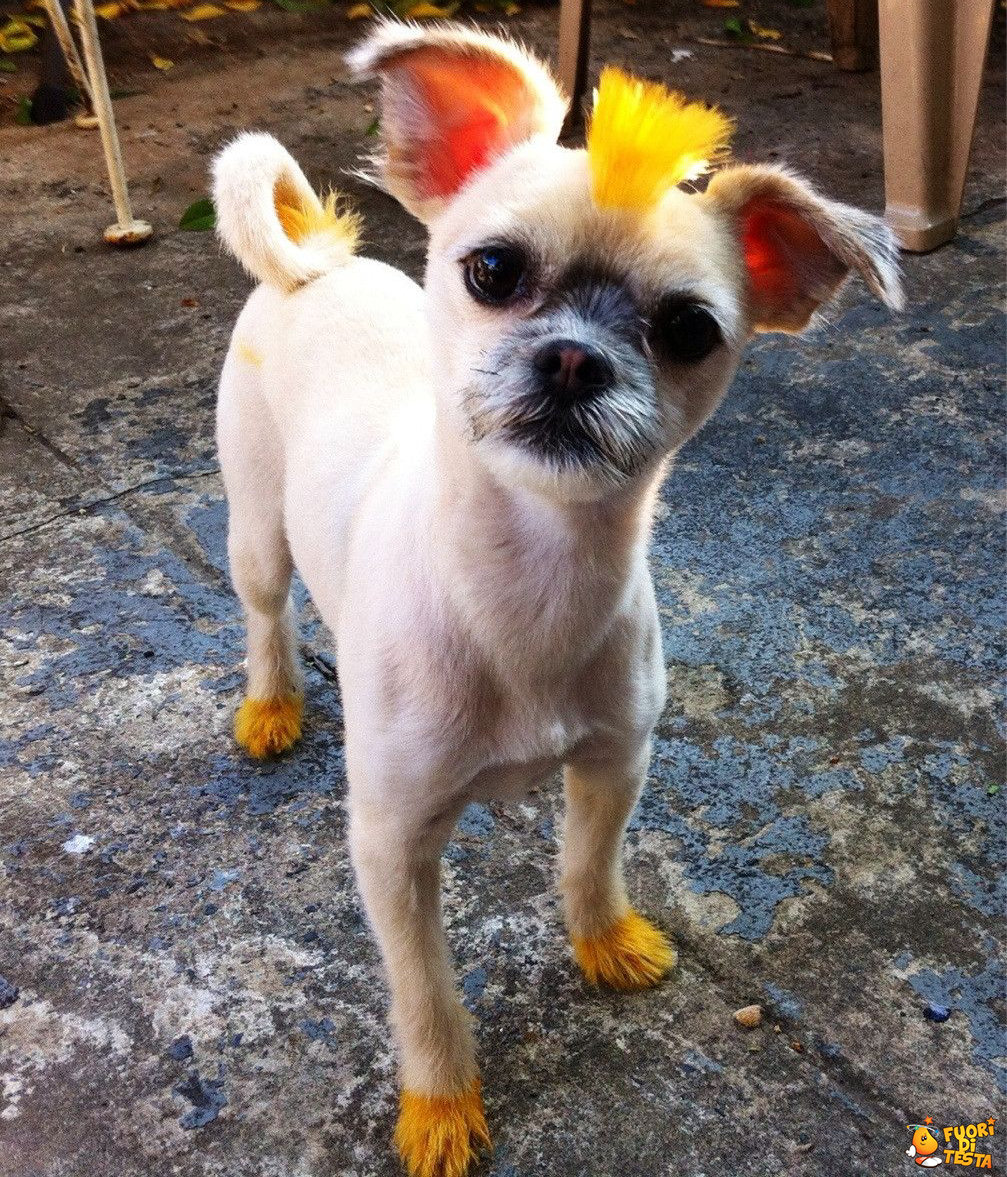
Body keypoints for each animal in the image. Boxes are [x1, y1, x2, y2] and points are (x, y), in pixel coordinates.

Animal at [212, 22, 903, 1172]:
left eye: (688, 329)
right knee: (265, 610)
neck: (526, 582)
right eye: (492, 270)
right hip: (257, 528)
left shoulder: (615, 759)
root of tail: (321, 266)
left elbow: (588, 863)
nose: (575, 357)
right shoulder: (391, 845)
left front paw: (603, 941)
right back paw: (271, 701)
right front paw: (441, 1104)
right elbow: (424, 991)